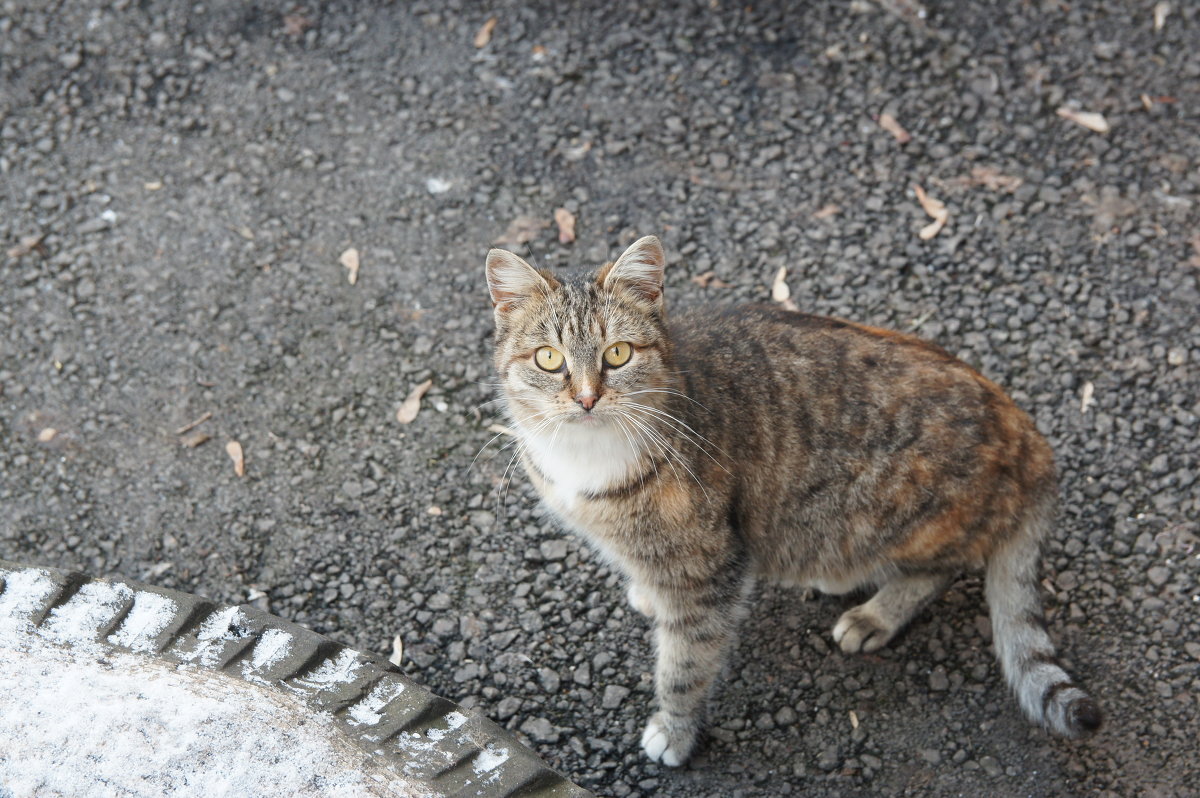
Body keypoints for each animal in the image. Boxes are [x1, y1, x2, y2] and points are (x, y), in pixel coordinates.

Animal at [482, 235, 1099, 768]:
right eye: (548, 359)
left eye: (618, 353)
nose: (586, 398)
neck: (588, 458)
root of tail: (1028, 433)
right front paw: (648, 592)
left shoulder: (710, 570)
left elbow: (686, 663)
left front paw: (675, 732)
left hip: (885, 517)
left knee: (943, 568)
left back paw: (874, 613)